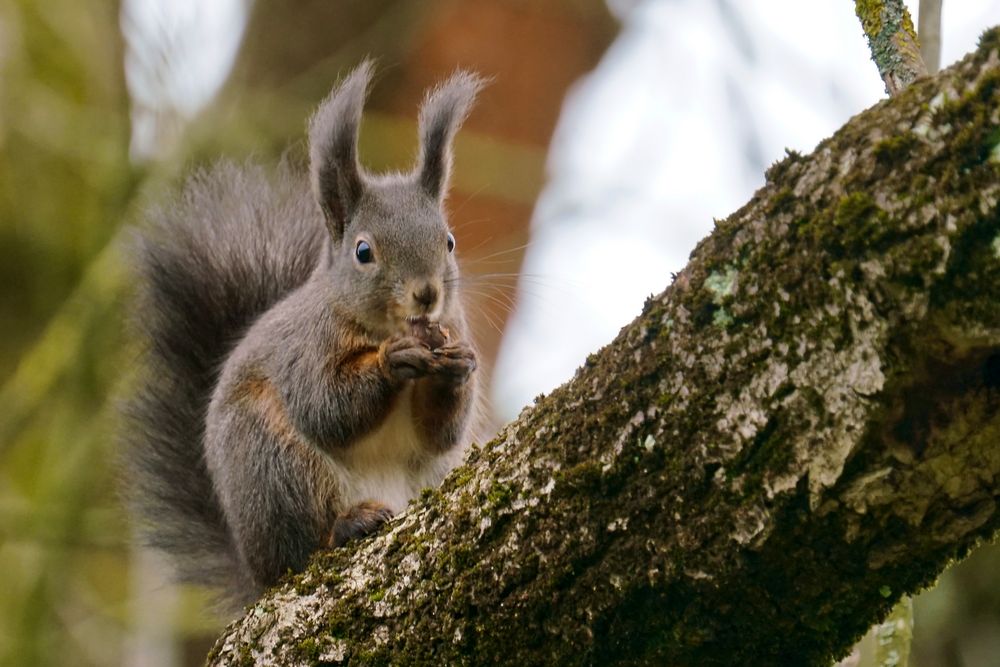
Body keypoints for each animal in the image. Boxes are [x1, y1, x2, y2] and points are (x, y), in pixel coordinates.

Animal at [120, 60, 484, 608]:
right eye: (362, 251)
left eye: (450, 241)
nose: (427, 294)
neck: (378, 327)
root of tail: (254, 570)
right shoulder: (304, 351)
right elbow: (326, 406)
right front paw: (392, 361)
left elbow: (440, 432)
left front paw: (456, 368)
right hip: (275, 467)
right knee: (303, 545)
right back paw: (347, 524)